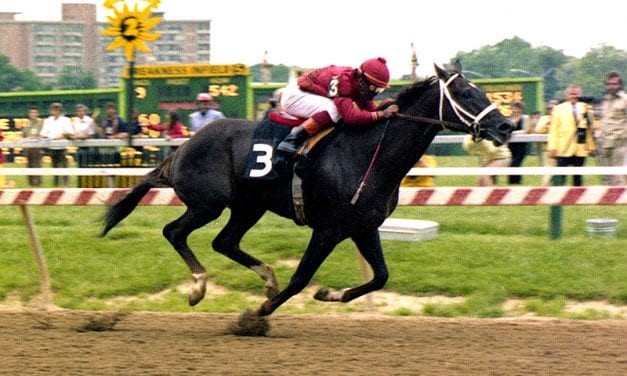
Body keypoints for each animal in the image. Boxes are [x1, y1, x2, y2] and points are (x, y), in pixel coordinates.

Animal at [103, 62, 512, 334]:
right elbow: (301, 278)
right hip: (209, 202)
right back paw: (199, 286)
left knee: (224, 241)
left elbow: (380, 276)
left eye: (482, 91)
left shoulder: (364, 226)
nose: (506, 126)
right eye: (465, 93)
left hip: (248, 206)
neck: (370, 153)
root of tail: (182, 147)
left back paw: (265, 277)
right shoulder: (328, 228)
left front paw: (329, 295)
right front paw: (255, 315)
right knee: (175, 232)